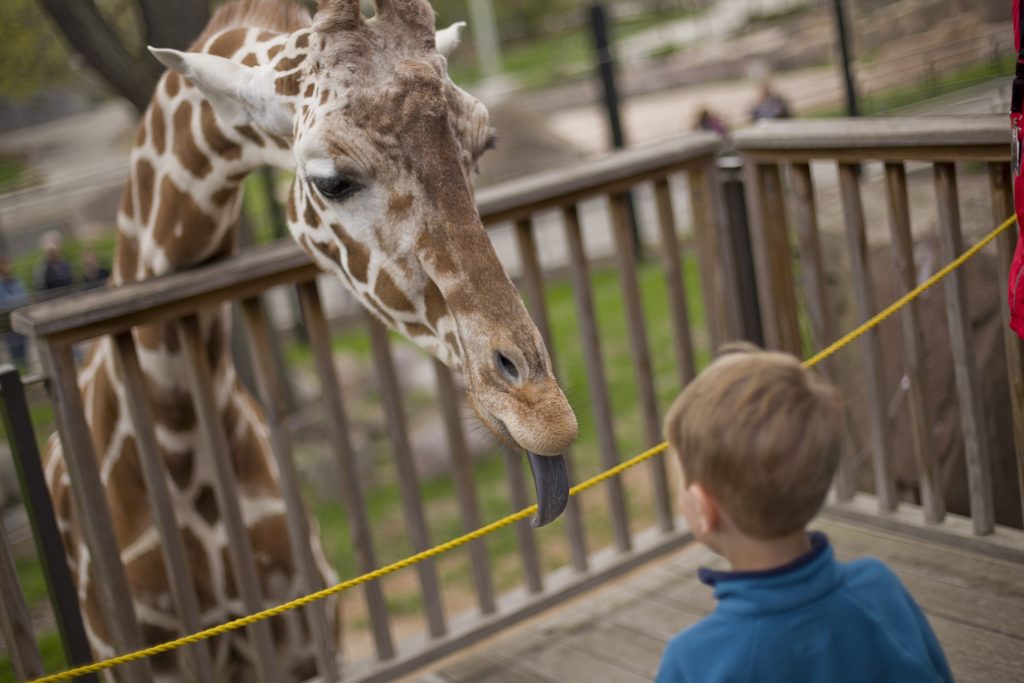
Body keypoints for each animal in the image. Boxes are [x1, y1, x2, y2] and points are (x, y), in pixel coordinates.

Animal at [39, 0, 581, 679]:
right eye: (331, 180)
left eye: (484, 144)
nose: (543, 414)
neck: (178, 438)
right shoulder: (136, 658)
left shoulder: (303, 640)